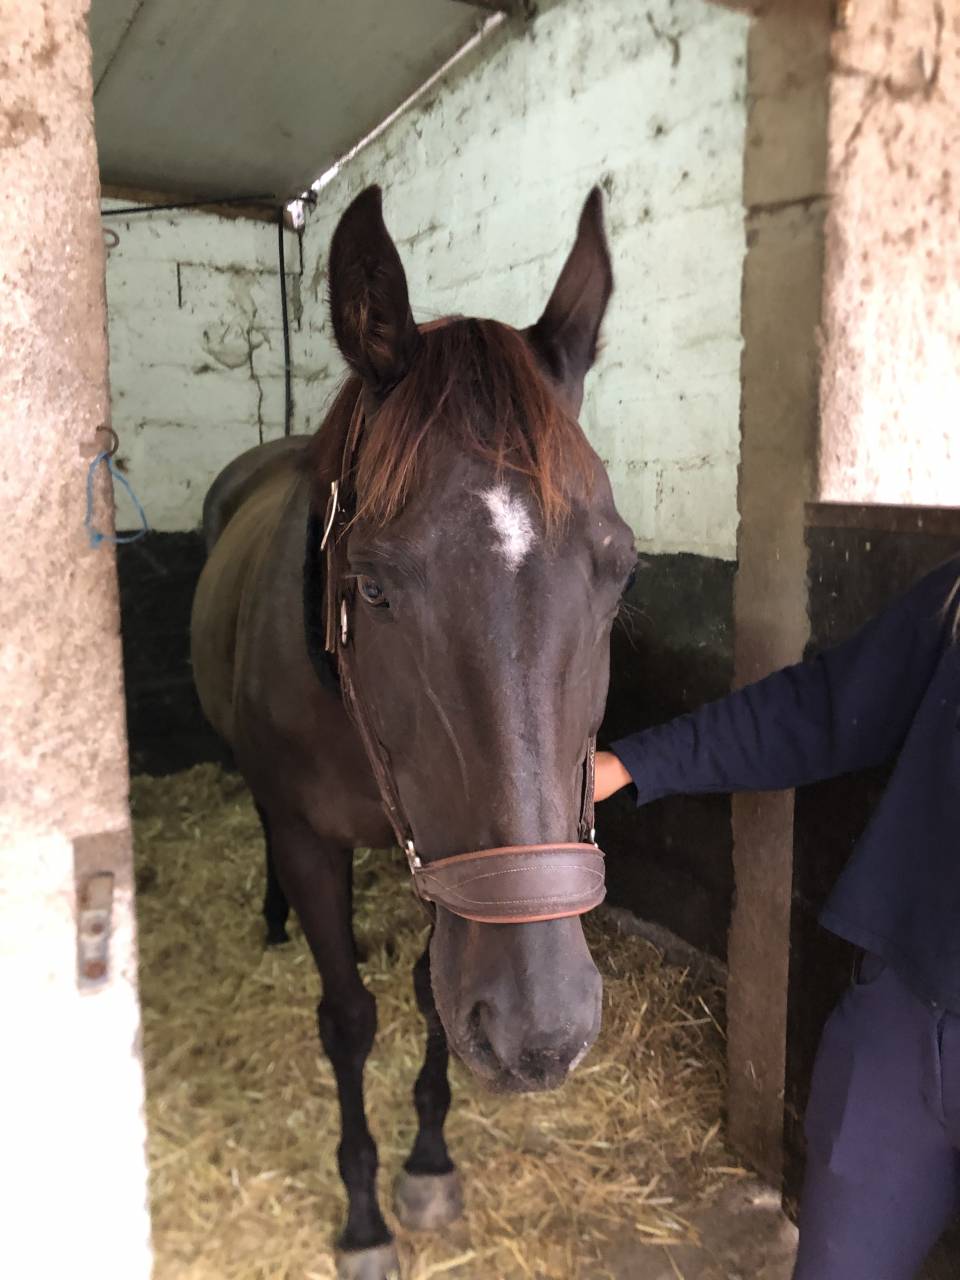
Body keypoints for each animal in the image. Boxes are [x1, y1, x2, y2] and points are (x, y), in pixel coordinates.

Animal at [190, 184, 637, 1280]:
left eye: (620, 572)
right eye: (373, 586)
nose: (542, 1033)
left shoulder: (449, 869)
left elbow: (437, 997)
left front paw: (429, 1162)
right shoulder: (313, 838)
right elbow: (350, 1018)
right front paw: (362, 1214)